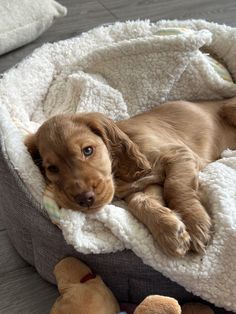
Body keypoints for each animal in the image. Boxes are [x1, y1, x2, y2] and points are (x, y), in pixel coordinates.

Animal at [24, 98, 236, 258]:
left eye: (88, 150)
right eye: (52, 169)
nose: (85, 199)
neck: (119, 176)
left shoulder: (179, 154)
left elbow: (175, 187)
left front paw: (195, 223)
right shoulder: (148, 184)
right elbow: (139, 201)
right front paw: (169, 232)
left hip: (229, 108)